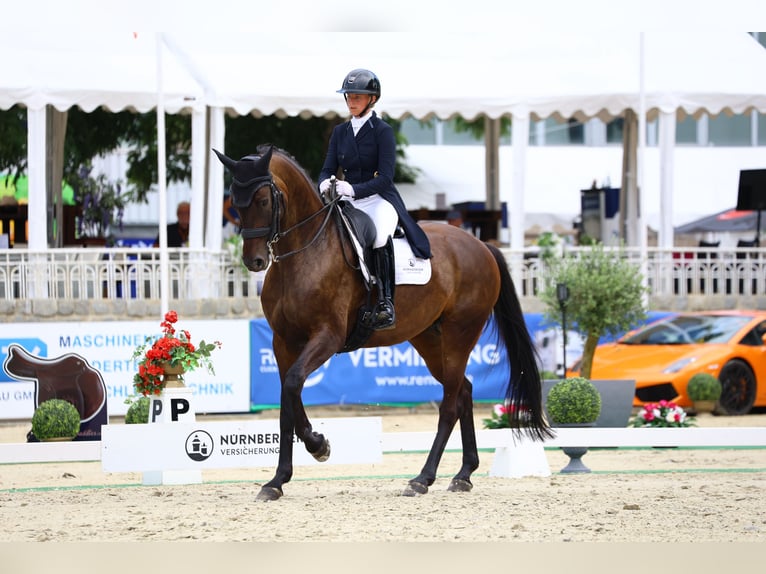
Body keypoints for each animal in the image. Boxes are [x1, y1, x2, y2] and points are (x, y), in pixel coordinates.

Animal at [216, 146, 552, 502]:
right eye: (235, 203)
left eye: (264, 200)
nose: (254, 261)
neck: (305, 253)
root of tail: (483, 246)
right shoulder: (283, 342)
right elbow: (285, 407)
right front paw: (277, 481)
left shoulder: (327, 338)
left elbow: (293, 384)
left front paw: (319, 446)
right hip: (429, 338)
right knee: (463, 390)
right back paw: (463, 474)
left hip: (460, 332)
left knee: (449, 404)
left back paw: (422, 478)